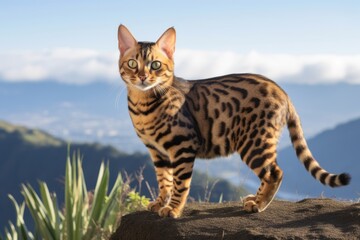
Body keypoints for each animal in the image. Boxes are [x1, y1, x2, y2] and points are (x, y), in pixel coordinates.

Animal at [117, 25, 352, 218]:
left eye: (156, 65)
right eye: (132, 63)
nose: (142, 77)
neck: (142, 106)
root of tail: (282, 90)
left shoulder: (183, 145)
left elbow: (180, 183)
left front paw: (173, 209)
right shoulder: (158, 152)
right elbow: (164, 181)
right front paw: (160, 202)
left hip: (254, 142)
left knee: (275, 172)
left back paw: (259, 205)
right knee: (270, 172)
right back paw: (254, 199)